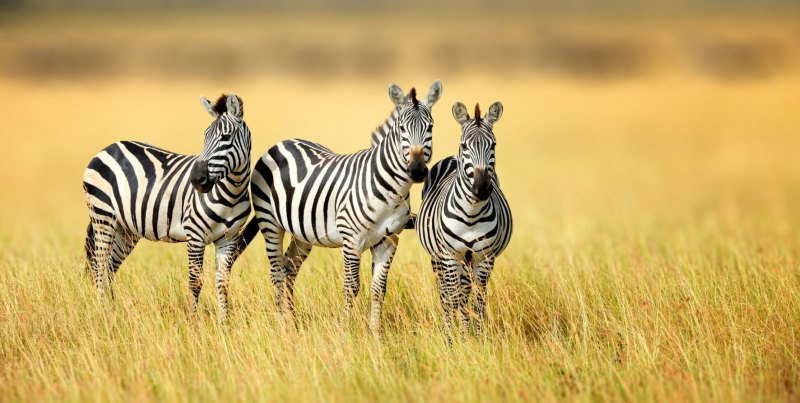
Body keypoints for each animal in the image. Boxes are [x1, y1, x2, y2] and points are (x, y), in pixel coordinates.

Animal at [82, 94, 251, 323]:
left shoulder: (229, 238)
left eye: (226, 137)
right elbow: (195, 282)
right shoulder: (195, 235)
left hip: (125, 230)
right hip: (103, 217)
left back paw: (113, 311)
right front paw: (193, 323)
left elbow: (222, 282)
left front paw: (224, 324)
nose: (197, 180)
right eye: (205, 137)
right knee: (99, 266)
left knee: (109, 268)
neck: (232, 193)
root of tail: (108, 148)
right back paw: (102, 313)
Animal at [235, 80, 441, 335]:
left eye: (430, 127)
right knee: (277, 272)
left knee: (289, 269)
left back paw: (291, 321)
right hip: (270, 223)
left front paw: (376, 334)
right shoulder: (352, 240)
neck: (392, 191)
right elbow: (351, 287)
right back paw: (281, 323)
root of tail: (283, 142)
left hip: (302, 233)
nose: (417, 170)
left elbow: (379, 289)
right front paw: (345, 331)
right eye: (402, 129)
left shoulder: (389, 241)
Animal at [416, 101, 513, 341]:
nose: (482, 188)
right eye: (465, 146)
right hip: (439, 258)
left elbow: (477, 301)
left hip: (468, 261)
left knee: (465, 291)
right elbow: (453, 298)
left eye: (493, 145)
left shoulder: (484, 258)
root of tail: (451, 157)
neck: (471, 214)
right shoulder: (450, 256)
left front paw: (476, 338)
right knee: (445, 293)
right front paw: (453, 339)